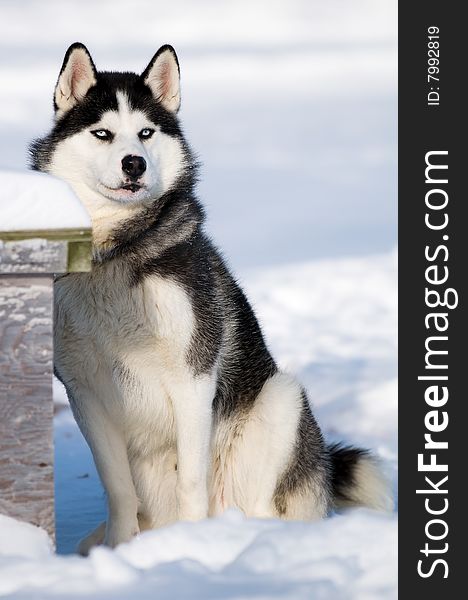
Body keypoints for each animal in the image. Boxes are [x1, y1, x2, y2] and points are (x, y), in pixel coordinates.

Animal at [30, 44, 392, 556]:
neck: (116, 250)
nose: (134, 163)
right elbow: (118, 487)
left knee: (261, 503)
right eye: (103, 133)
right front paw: (120, 549)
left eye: (145, 133)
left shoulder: (192, 378)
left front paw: (190, 542)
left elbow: (191, 479)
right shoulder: (85, 392)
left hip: (282, 398)